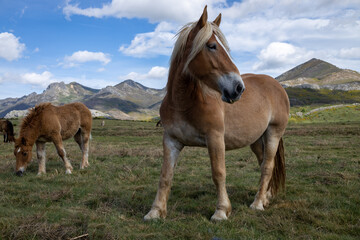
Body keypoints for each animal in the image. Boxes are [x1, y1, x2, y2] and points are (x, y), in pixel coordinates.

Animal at [143, 6, 290, 221]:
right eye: (212, 46)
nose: (238, 88)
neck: (184, 104)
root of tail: (277, 86)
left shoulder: (215, 138)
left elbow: (218, 173)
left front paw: (221, 211)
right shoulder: (171, 140)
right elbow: (165, 176)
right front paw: (155, 211)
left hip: (273, 133)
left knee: (267, 166)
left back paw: (257, 203)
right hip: (256, 139)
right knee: (263, 162)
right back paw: (265, 197)